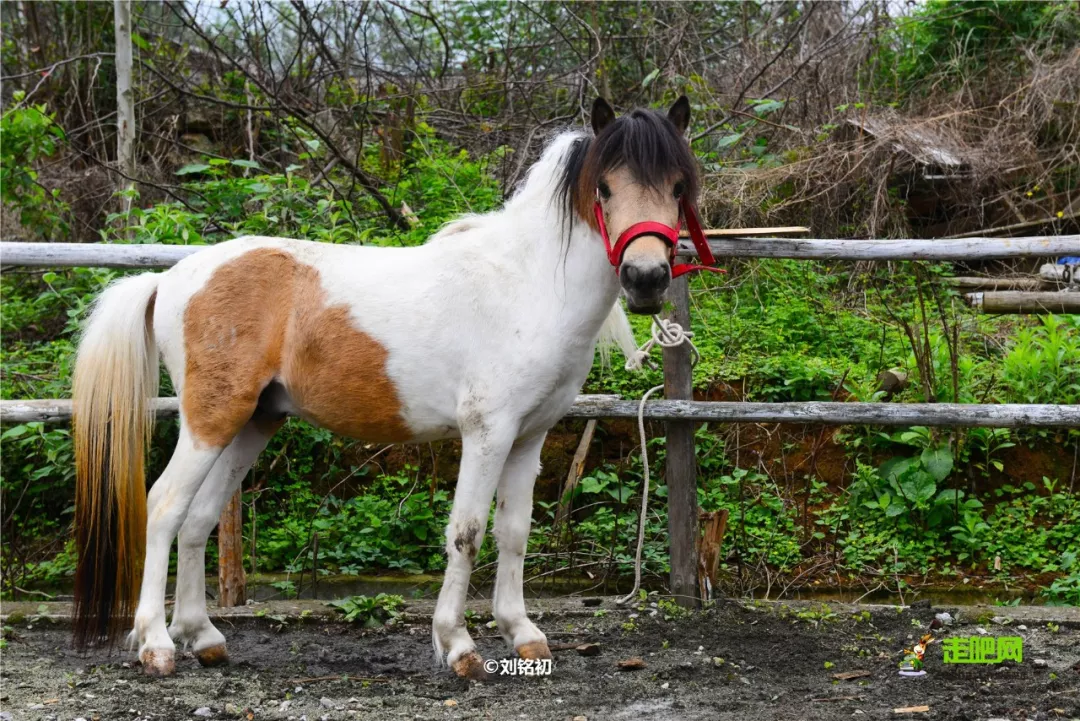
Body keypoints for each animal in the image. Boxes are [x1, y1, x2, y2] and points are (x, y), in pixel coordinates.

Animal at [73, 95, 699, 677]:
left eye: (676, 186)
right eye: (606, 188)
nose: (646, 279)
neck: (528, 283)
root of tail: (170, 278)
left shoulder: (530, 436)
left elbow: (514, 532)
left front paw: (522, 634)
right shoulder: (487, 433)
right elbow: (467, 532)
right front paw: (458, 646)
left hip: (254, 422)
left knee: (199, 519)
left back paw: (203, 637)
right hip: (210, 420)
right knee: (164, 507)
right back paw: (156, 645)